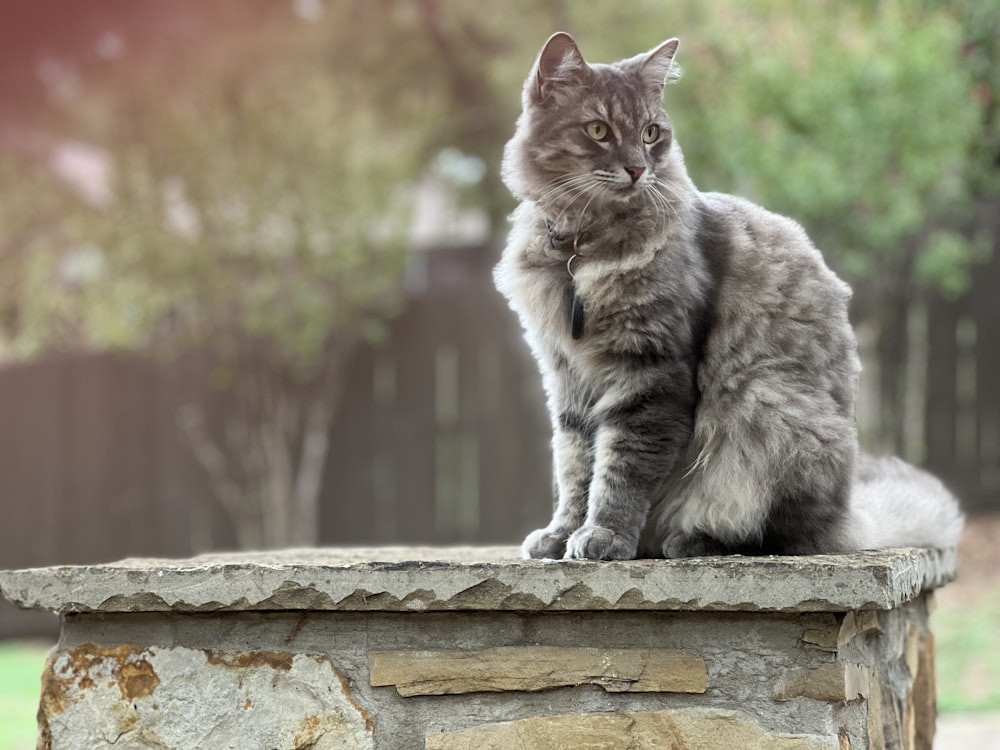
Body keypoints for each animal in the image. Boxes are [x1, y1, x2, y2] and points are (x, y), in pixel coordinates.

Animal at [496, 30, 964, 560]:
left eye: (651, 134)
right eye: (598, 130)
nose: (637, 169)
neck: (581, 249)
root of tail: (849, 517)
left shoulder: (650, 373)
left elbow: (620, 468)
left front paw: (605, 535)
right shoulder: (566, 375)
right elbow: (575, 465)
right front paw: (561, 534)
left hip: (763, 400)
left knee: (778, 535)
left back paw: (693, 540)